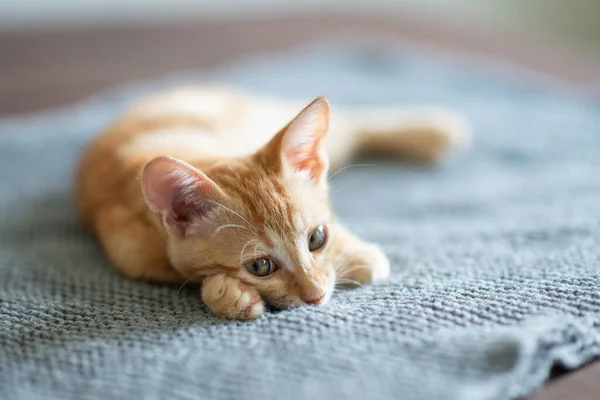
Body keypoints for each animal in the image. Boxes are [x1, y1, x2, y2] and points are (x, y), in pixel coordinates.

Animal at [75, 86, 468, 320]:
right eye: (260, 266)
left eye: (317, 238)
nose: (316, 297)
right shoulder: (130, 256)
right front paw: (226, 294)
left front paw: (358, 254)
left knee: (355, 120)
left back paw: (430, 130)